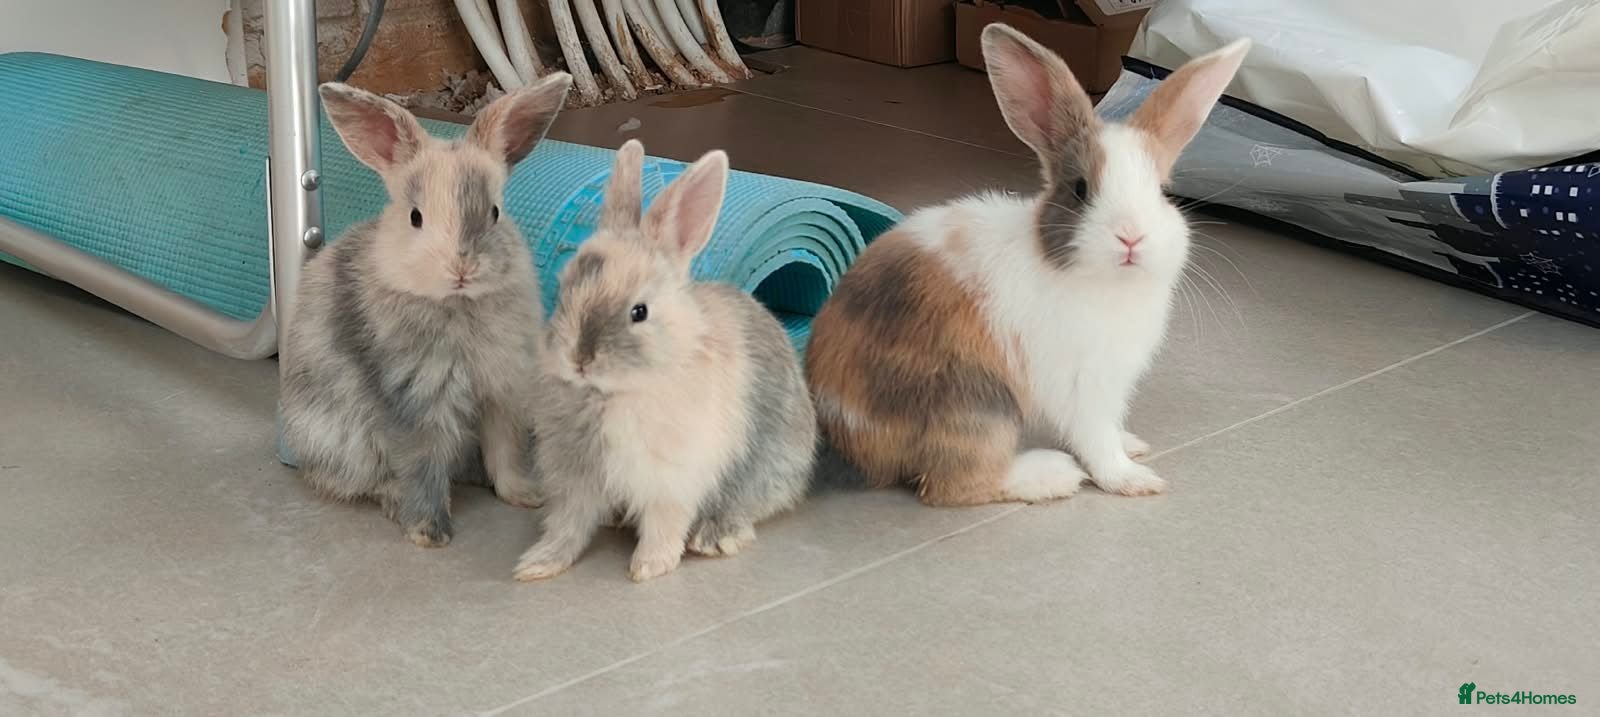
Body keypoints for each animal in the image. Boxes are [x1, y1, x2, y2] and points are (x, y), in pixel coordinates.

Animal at [279, 72, 573, 547]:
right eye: (415, 217)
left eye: (495, 212)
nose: (461, 269)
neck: (456, 304)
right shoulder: (414, 402)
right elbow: (422, 467)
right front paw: (428, 534)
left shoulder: (500, 395)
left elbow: (505, 452)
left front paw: (526, 496)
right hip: (340, 444)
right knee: (362, 481)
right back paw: (392, 498)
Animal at [512, 140, 818, 583]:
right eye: (565, 287)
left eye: (639, 312)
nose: (580, 359)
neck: (612, 394)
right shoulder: (576, 479)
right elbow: (568, 525)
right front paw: (537, 564)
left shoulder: (671, 481)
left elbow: (664, 524)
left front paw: (648, 567)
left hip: (765, 462)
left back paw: (716, 536)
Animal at [804, 24, 1250, 507]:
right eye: (1079, 189)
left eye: (1165, 192)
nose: (1131, 237)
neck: (1105, 281)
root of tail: (845, 441)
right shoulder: (1083, 385)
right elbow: (1096, 440)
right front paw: (1132, 479)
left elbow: (1110, 429)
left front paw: (1132, 444)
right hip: (976, 406)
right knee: (955, 485)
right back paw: (1051, 475)